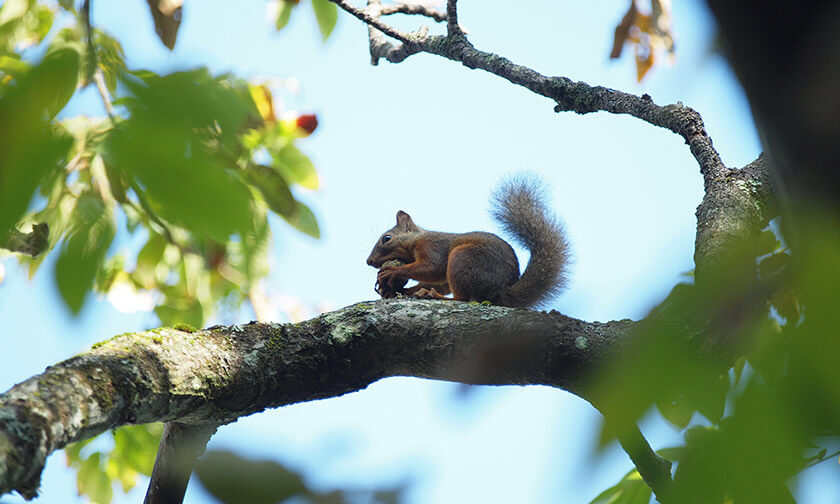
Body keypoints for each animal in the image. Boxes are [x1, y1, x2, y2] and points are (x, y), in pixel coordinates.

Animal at [368, 177, 572, 312]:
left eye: (386, 238)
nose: (369, 261)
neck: (416, 241)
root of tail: (500, 292)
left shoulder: (433, 247)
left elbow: (431, 267)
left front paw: (393, 272)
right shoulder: (442, 278)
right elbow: (438, 281)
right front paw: (401, 290)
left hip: (463, 258)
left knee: (463, 299)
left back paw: (432, 295)